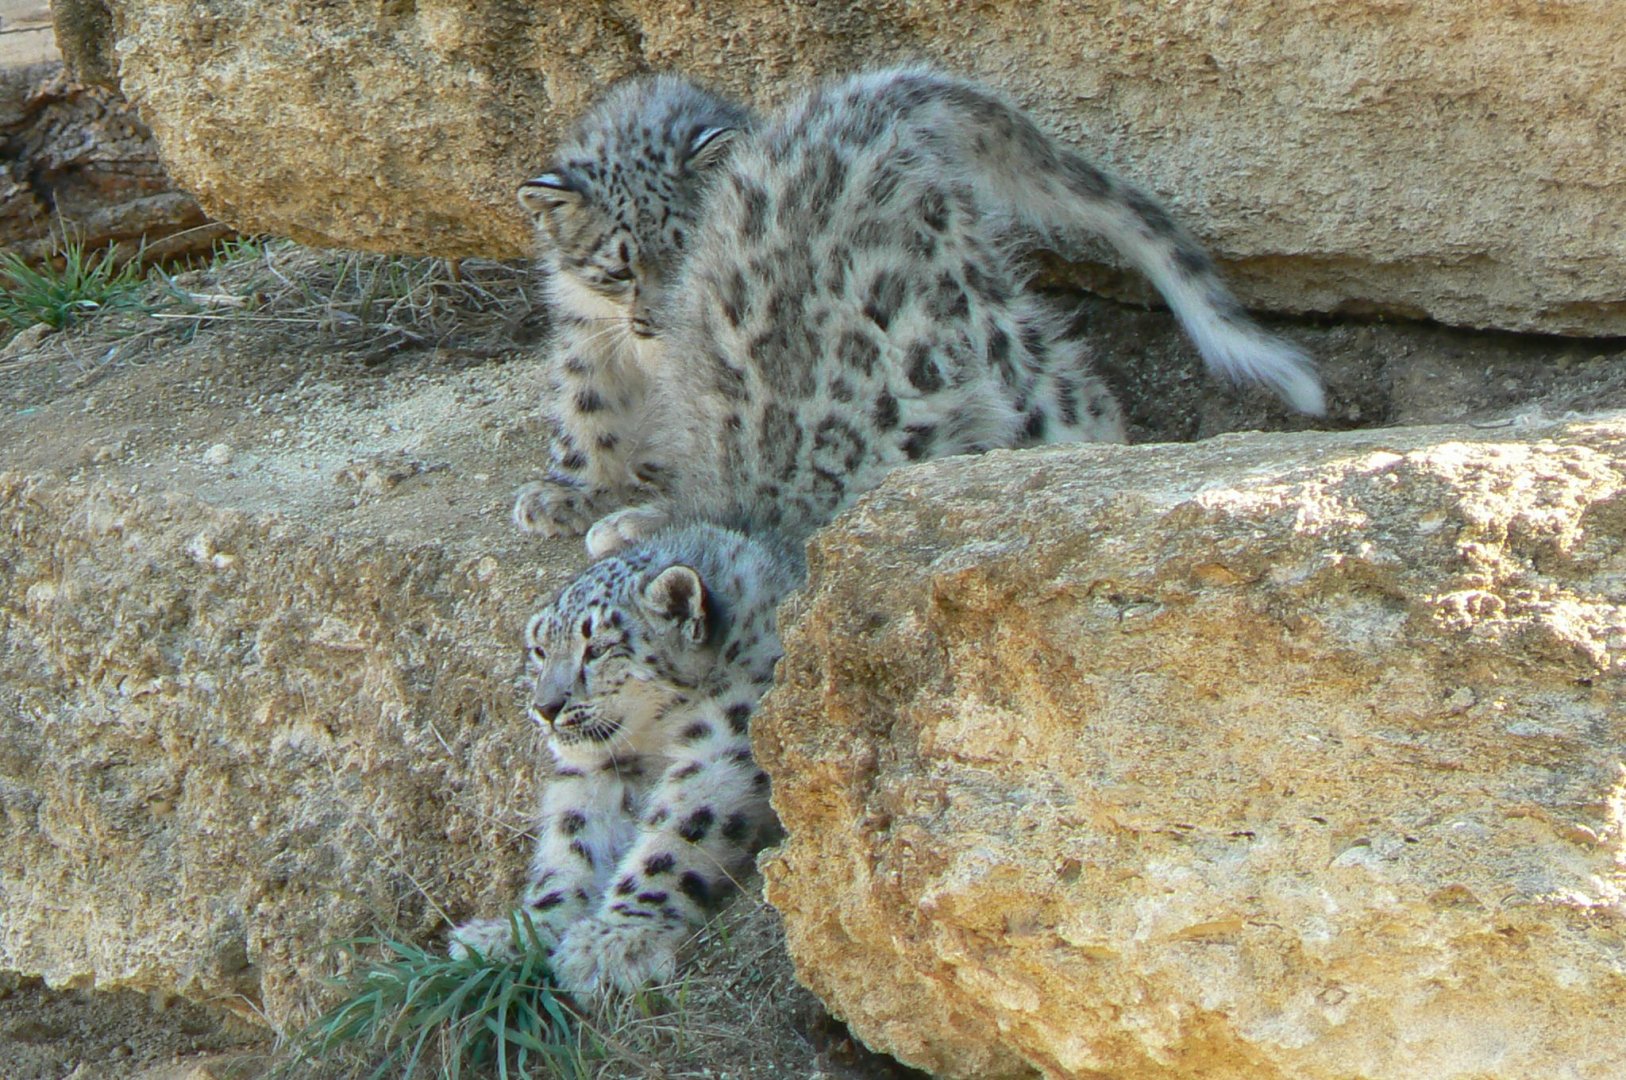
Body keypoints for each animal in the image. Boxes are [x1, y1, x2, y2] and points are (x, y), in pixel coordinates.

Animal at [448, 523, 797, 993]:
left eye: (597, 647)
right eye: (540, 651)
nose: (545, 707)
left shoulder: (724, 743)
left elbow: (676, 834)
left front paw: (615, 941)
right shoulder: (599, 772)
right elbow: (573, 839)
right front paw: (522, 929)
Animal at [514, 65, 1325, 545]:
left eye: (686, 248)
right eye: (620, 268)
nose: (657, 322)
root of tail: (873, 98)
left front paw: (625, 511)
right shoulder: (584, 328)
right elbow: (586, 409)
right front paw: (571, 491)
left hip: (964, 290)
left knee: (1067, 387)